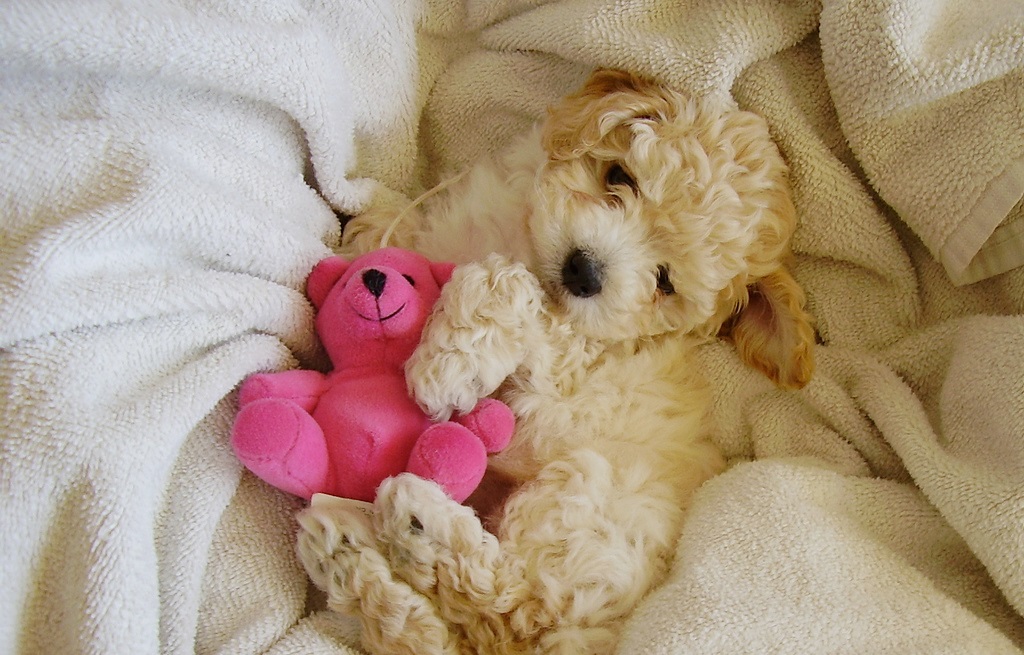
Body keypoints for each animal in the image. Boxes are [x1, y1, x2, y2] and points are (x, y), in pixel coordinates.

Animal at [297, 69, 815, 655]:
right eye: (619, 176)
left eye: (664, 282)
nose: (582, 271)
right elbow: (400, 232)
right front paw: (362, 238)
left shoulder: (570, 358)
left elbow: (504, 283)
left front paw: (444, 366)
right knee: (432, 636)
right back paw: (344, 548)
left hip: (587, 511)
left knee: (506, 609)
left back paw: (412, 522)